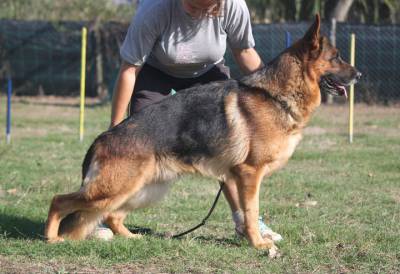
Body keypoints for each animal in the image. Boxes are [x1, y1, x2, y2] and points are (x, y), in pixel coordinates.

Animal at [45, 16, 360, 258]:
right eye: (336, 57)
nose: (359, 74)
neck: (275, 95)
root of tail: (101, 139)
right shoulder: (249, 173)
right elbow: (251, 210)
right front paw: (258, 244)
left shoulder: (237, 176)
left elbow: (245, 213)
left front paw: (252, 239)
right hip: (114, 189)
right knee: (60, 200)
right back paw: (52, 238)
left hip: (142, 189)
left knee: (111, 215)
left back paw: (131, 237)